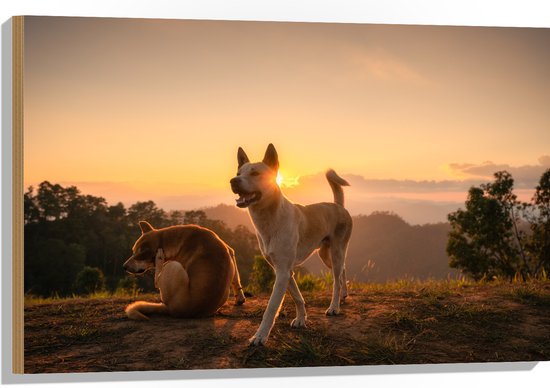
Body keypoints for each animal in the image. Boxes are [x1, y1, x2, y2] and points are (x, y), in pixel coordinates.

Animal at [230, 144, 354, 344]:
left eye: (255, 173)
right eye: (238, 173)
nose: (233, 181)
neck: (271, 220)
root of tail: (338, 206)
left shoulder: (282, 272)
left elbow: (271, 308)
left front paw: (260, 336)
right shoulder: (284, 271)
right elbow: (298, 297)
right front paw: (301, 319)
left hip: (336, 252)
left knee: (336, 280)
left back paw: (335, 306)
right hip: (325, 255)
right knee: (343, 270)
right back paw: (344, 294)